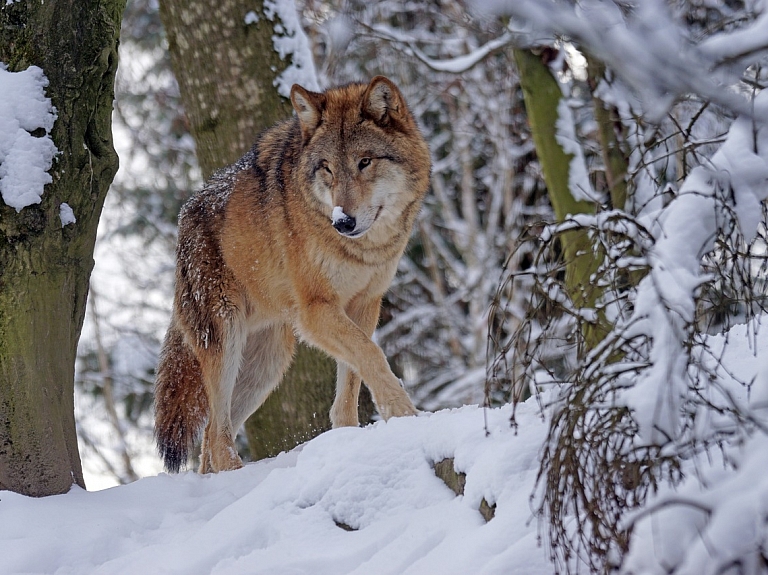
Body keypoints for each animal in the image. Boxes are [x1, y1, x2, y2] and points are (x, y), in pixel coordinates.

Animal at [153, 76, 436, 472]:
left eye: (364, 162)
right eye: (327, 168)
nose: (342, 222)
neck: (363, 250)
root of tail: (184, 216)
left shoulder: (365, 305)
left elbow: (351, 380)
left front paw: (349, 439)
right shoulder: (316, 310)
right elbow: (372, 355)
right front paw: (404, 414)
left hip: (268, 365)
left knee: (210, 438)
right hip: (226, 341)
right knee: (216, 434)